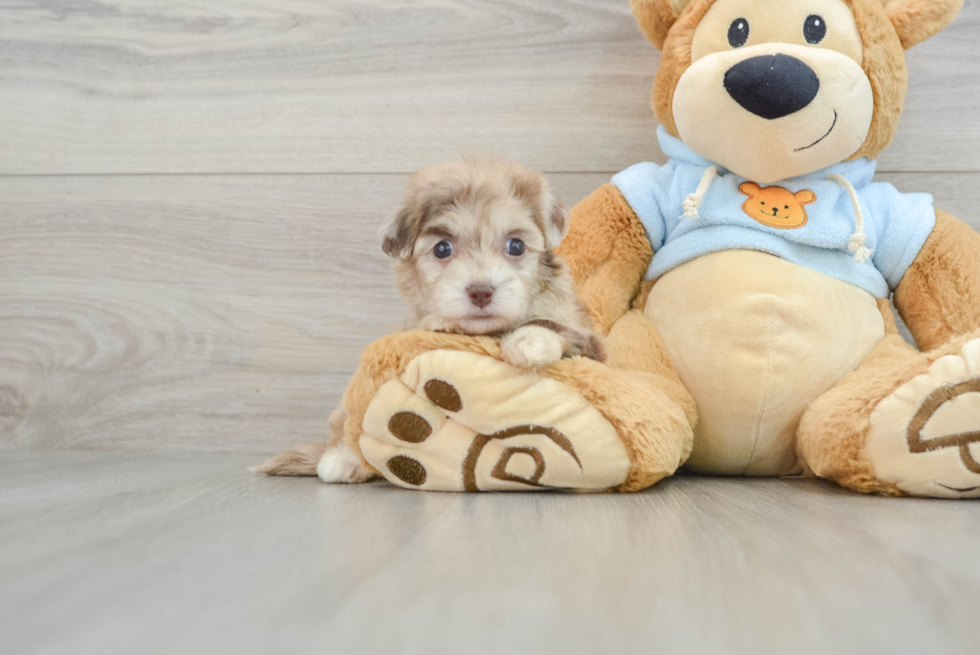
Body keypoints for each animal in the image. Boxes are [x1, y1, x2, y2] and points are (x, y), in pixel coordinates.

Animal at [256, 154, 600, 482]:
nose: (481, 291)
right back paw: (342, 459)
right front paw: (442, 323)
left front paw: (529, 342)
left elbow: (552, 325)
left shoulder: (590, 343)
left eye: (516, 246)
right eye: (442, 249)